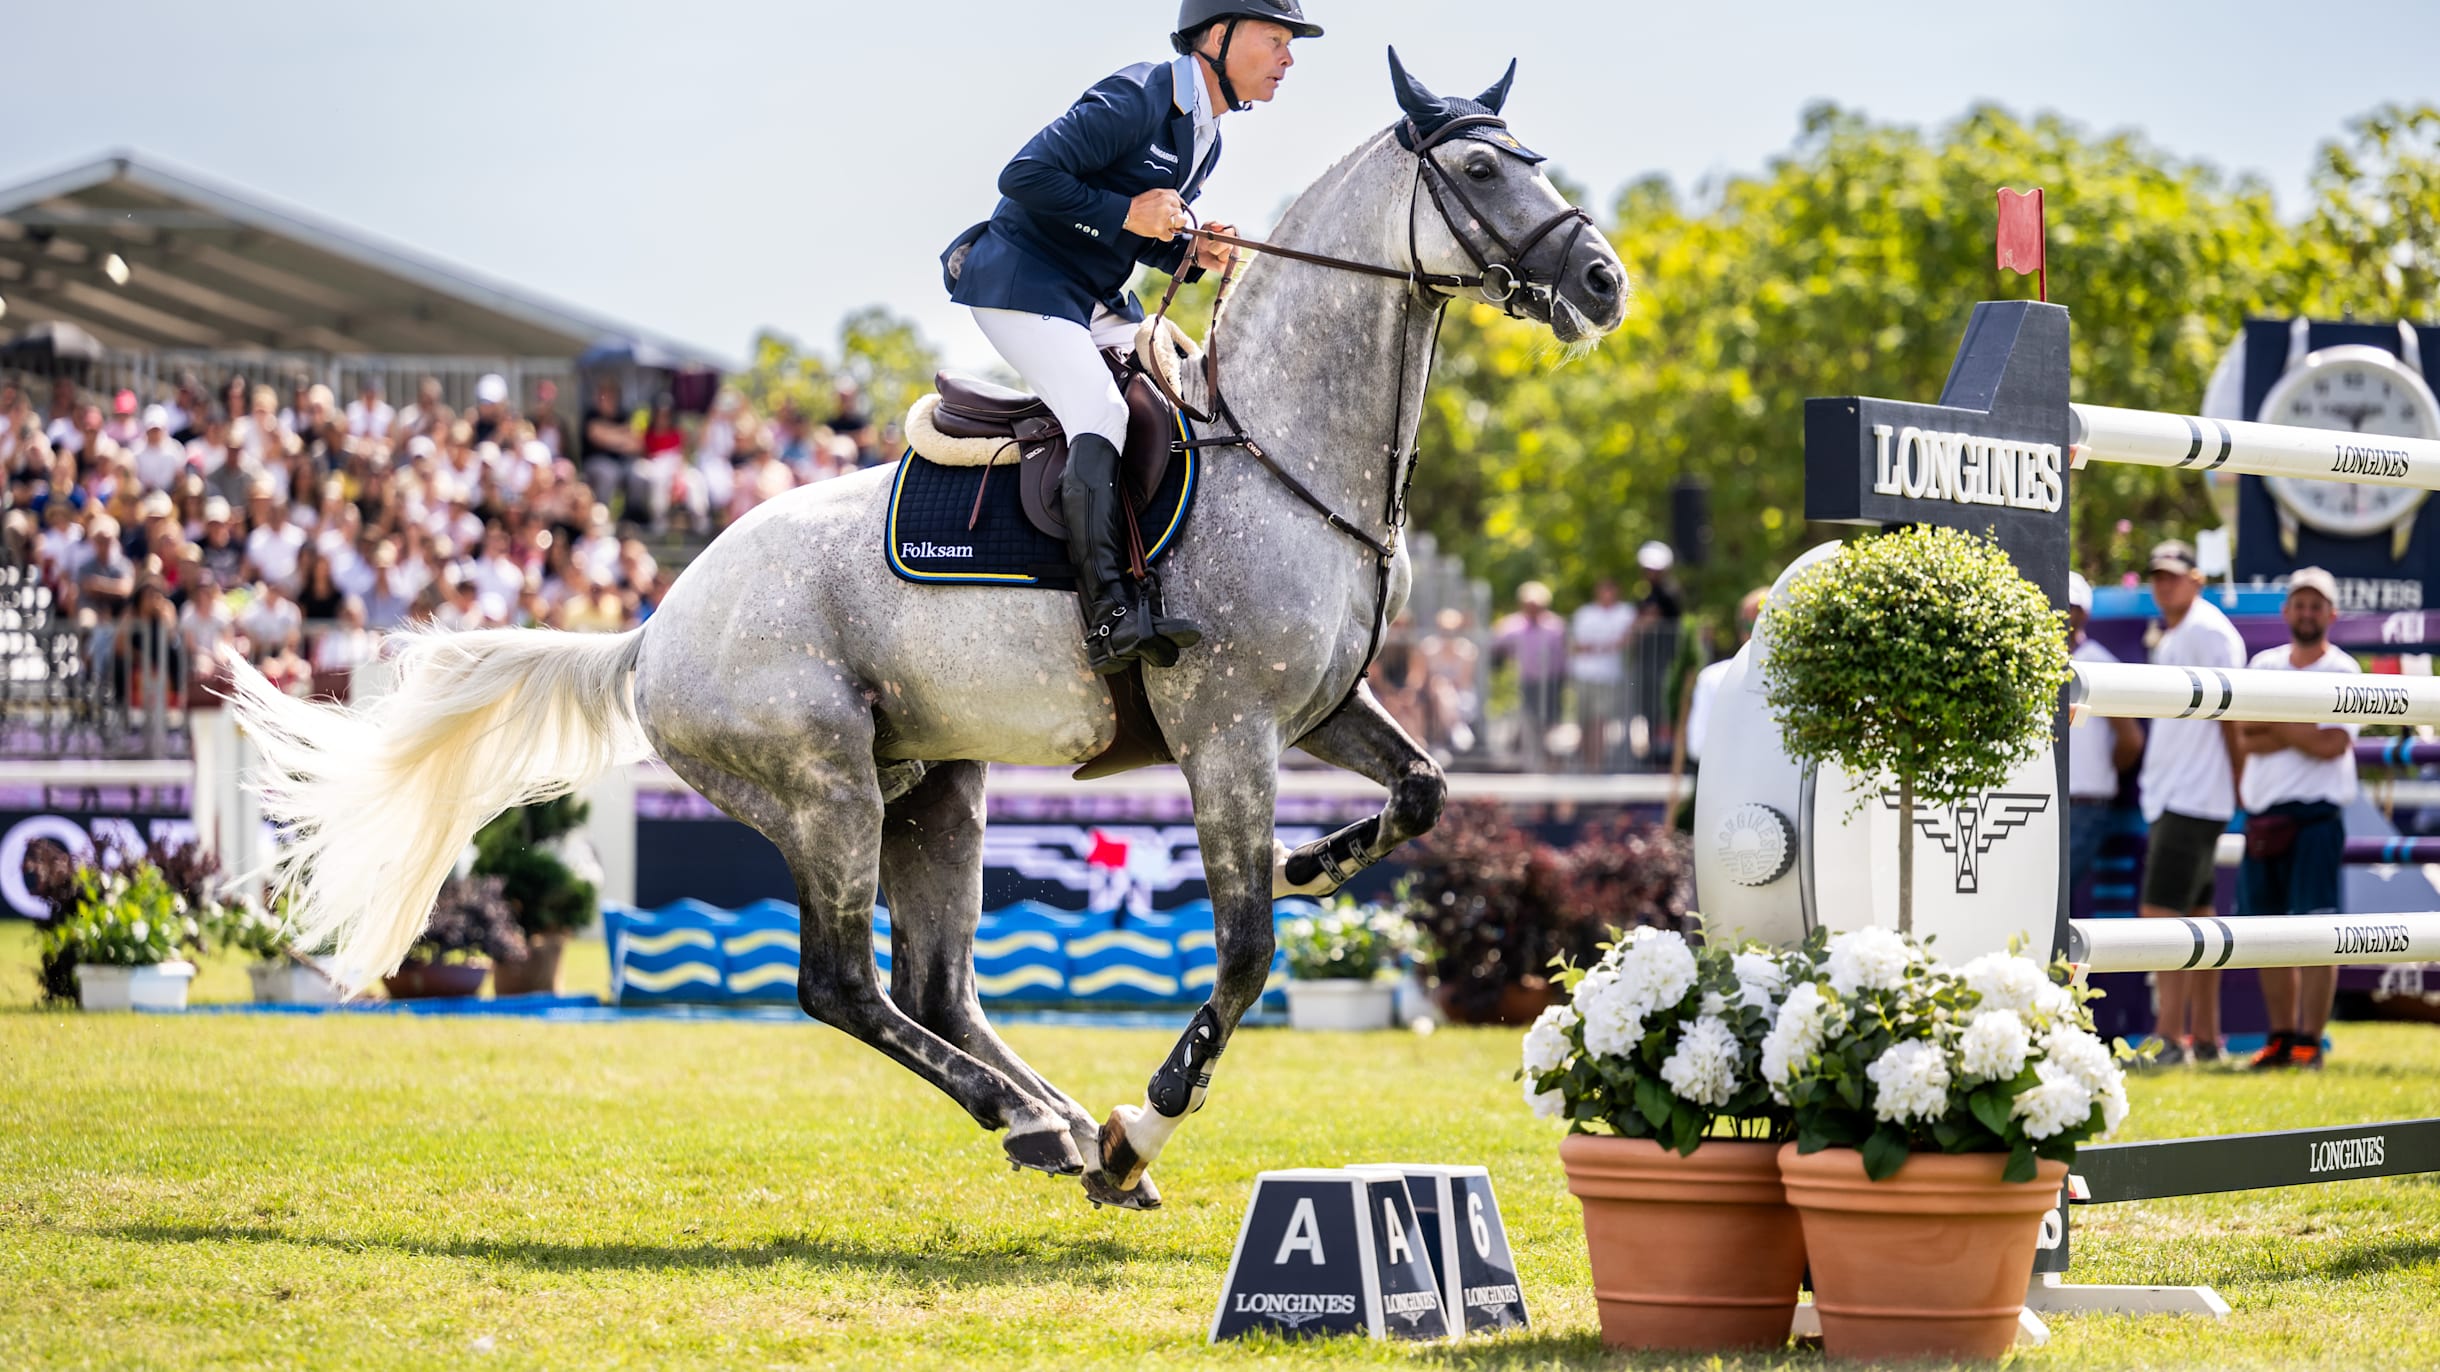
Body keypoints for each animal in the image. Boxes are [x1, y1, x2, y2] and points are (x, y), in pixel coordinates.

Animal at [229, 50, 1620, 1205]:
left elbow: (1425, 790)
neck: (1283, 445)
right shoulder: (1227, 728)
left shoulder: (1320, 707)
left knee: (935, 984)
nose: (1603, 282)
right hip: (824, 784)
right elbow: (1240, 951)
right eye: (1482, 168)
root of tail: (655, 629)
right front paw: (1147, 1121)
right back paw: (1051, 1127)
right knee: (843, 984)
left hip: (935, 785)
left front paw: (1319, 862)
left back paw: (1053, 1120)